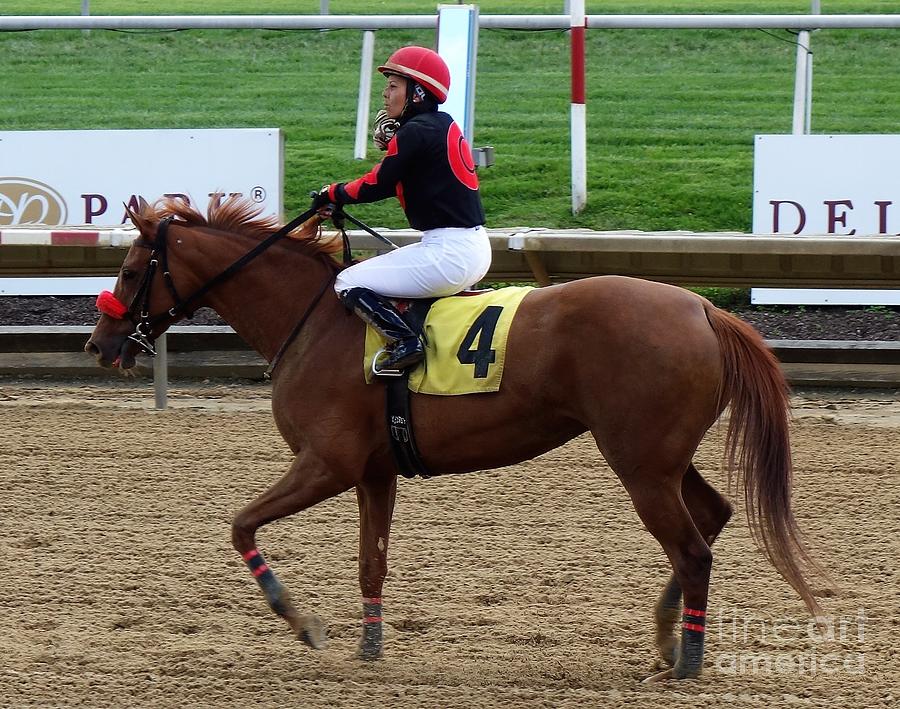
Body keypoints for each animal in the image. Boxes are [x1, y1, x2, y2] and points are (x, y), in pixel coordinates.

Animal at [86, 196, 828, 684]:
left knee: (694, 548)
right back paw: (667, 638)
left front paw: (302, 622)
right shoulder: (373, 471)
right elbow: (371, 561)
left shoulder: (326, 463)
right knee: (711, 518)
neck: (314, 321)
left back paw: (689, 660)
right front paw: (370, 646)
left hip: (639, 462)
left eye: (130, 270)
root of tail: (702, 307)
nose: (100, 344)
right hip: (662, 458)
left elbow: (241, 523)